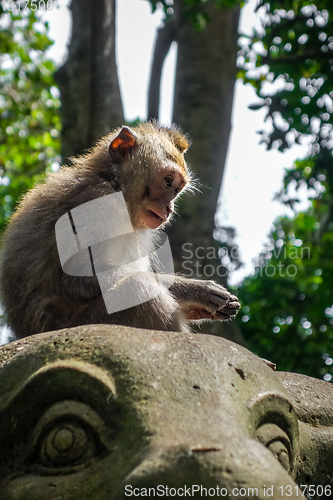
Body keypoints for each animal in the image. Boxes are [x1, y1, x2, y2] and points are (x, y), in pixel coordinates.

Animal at [0, 122, 240, 340]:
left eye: (176, 190)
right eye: (167, 181)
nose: (169, 209)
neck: (113, 183)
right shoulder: (95, 206)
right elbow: (77, 279)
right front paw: (193, 291)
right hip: (84, 324)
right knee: (139, 288)